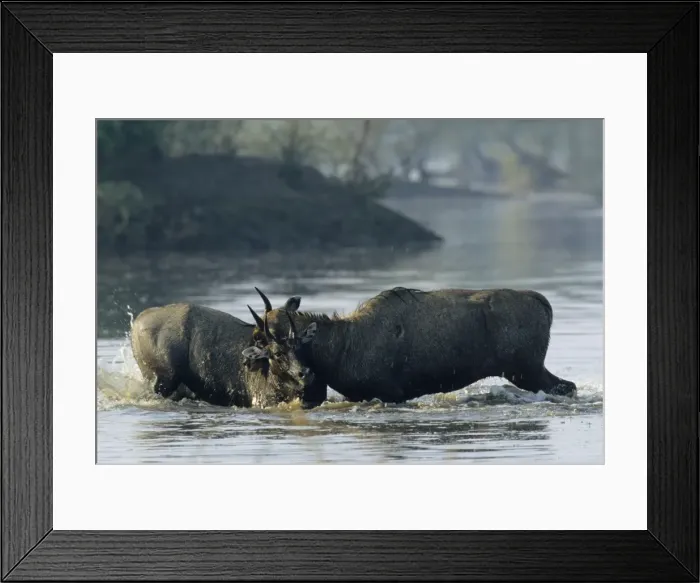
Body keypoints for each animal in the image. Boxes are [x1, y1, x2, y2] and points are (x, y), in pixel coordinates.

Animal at [248, 286, 577, 404]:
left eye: (260, 337)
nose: (246, 358)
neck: (340, 348)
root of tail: (544, 304)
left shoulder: (390, 394)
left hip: (526, 369)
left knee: (567, 386)